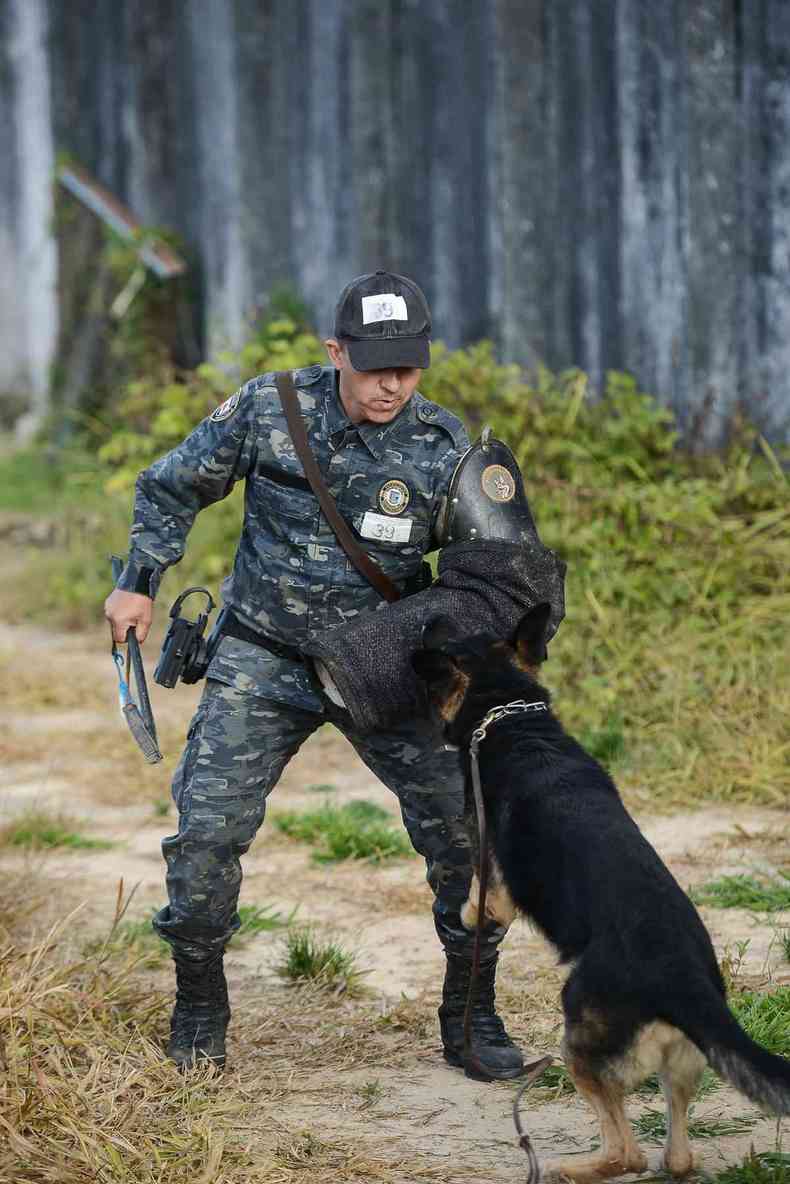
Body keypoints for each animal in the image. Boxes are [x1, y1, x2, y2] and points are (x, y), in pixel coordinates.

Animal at [414, 601, 790, 1184]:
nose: (427, 620)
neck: (514, 717)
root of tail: (684, 981)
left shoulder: (493, 880)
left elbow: (477, 905)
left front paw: (467, 917)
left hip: (579, 1042)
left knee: (625, 1152)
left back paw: (567, 1167)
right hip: (681, 1062)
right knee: (677, 1156)